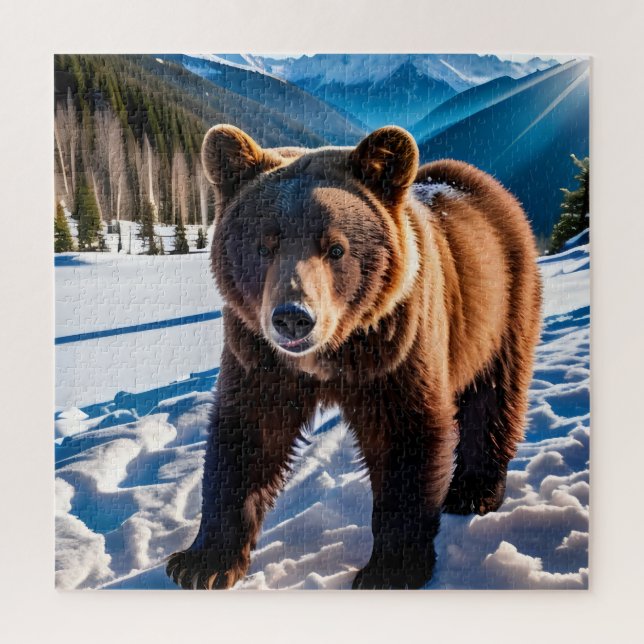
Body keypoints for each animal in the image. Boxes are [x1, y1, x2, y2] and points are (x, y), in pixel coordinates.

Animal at [166, 124, 542, 590]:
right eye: (263, 245)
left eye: (336, 248)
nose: (293, 318)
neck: (335, 351)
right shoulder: (259, 358)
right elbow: (247, 437)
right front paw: (202, 562)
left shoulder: (395, 347)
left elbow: (406, 436)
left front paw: (391, 568)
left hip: (502, 304)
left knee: (494, 394)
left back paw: (473, 490)